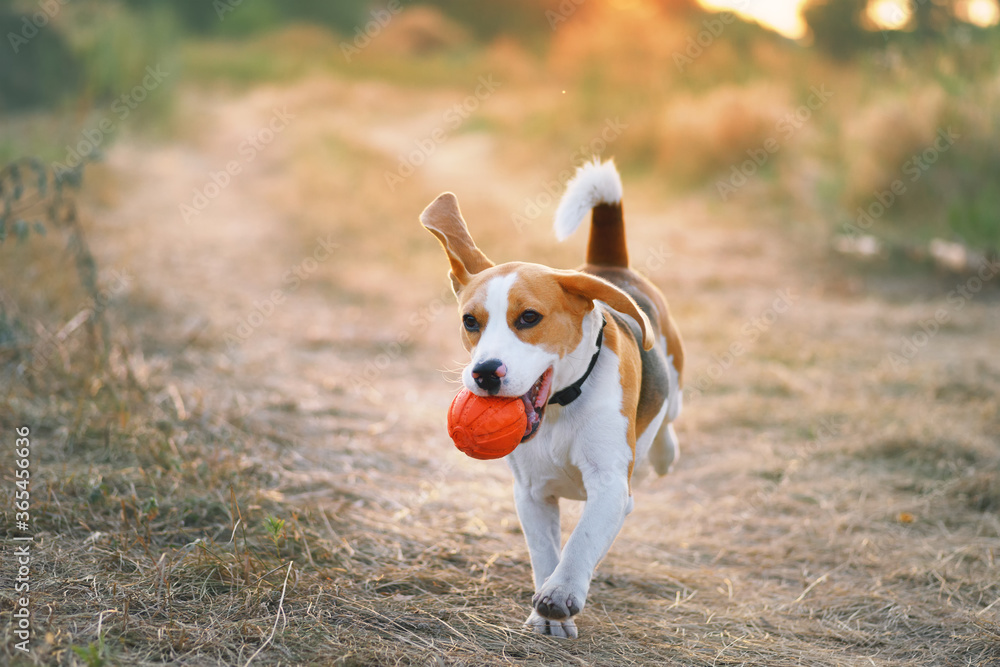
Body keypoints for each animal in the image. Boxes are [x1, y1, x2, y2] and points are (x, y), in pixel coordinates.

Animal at [418, 159, 684, 640]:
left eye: (529, 318)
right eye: (470, 321)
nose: (485, 373)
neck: (562, 406)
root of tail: (606, 265)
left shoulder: (609, 485)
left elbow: (581, 540)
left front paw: (560, 595)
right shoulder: (531, 492)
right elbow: (545, 553)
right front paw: (545, 613)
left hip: (674, 382)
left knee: (670, 420)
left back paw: (665, 452)